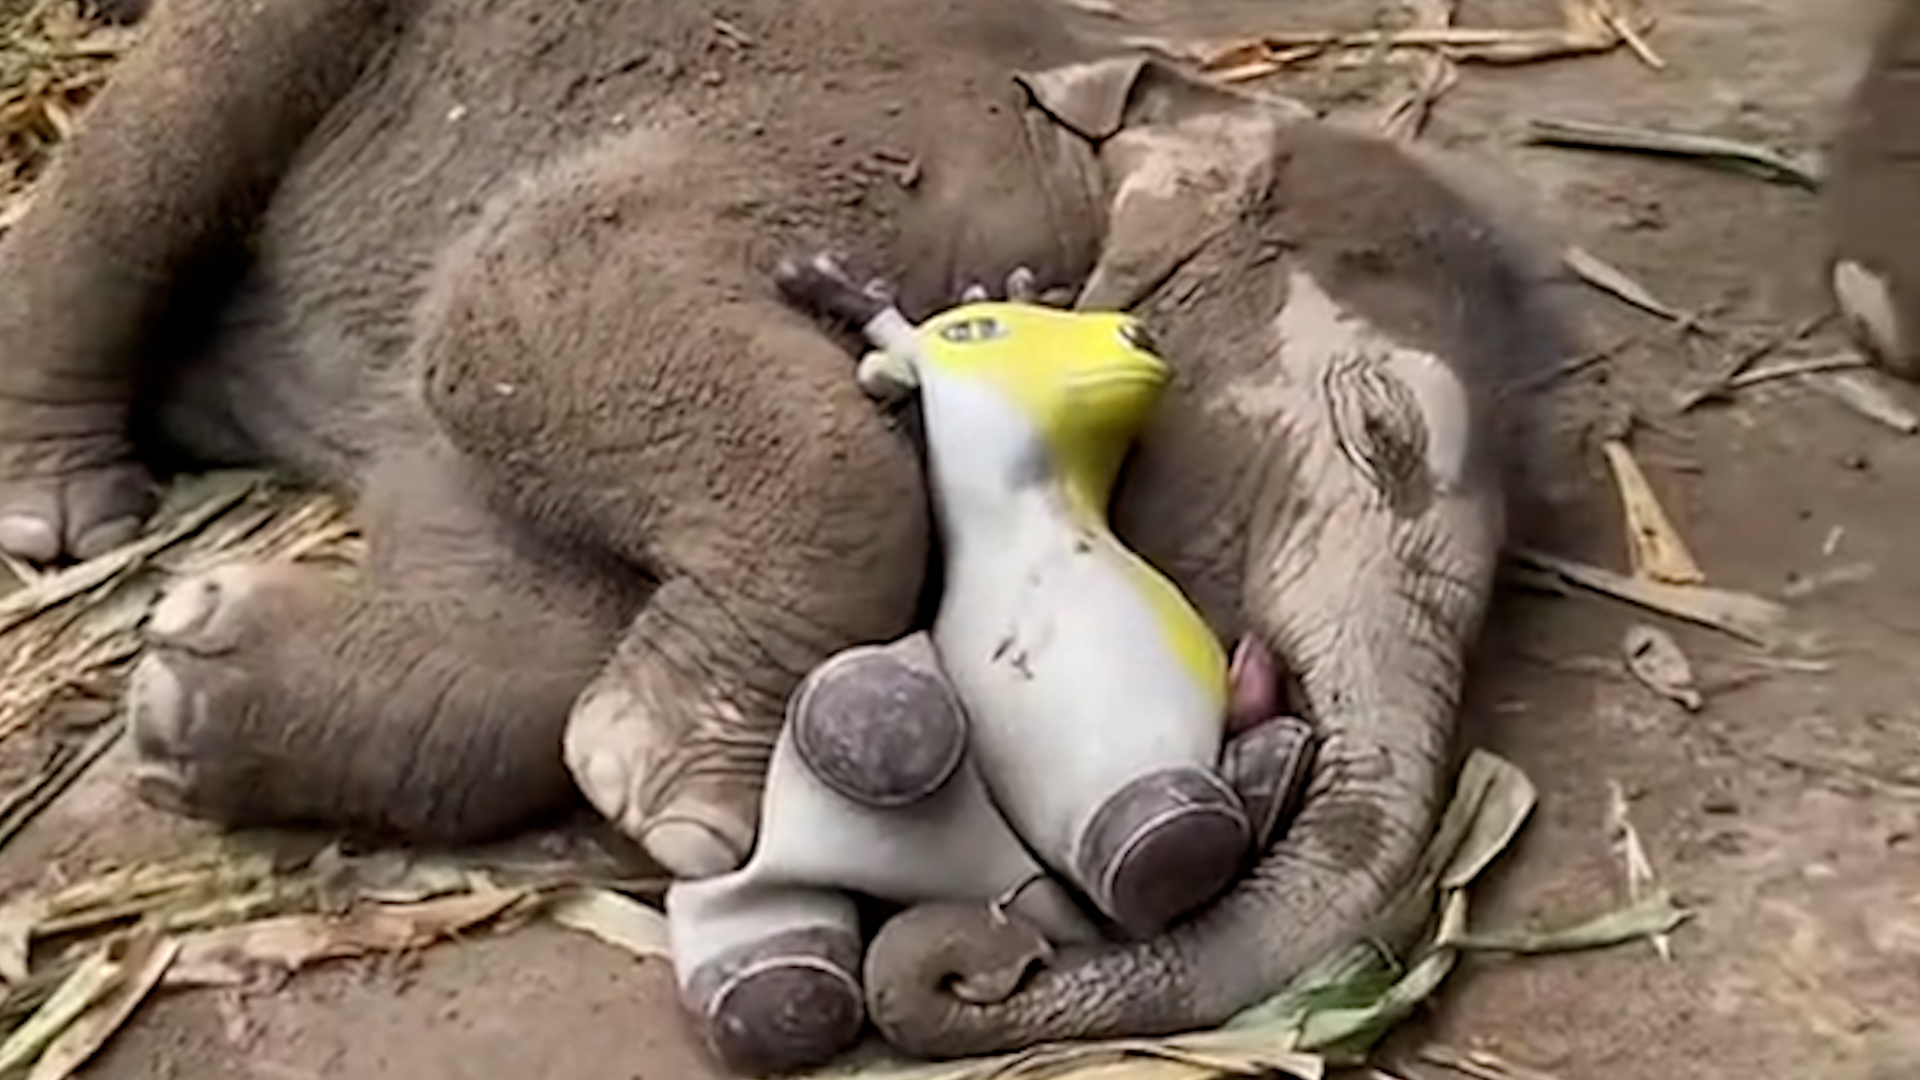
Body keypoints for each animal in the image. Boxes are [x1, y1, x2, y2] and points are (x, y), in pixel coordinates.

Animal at [0, 0, 1571, 1060]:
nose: (984, 962)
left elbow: (499, 535)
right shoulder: (886, 155)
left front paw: (188, 695)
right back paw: (63, 509)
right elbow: (519, 293)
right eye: (1382, 429)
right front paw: (681, 805)